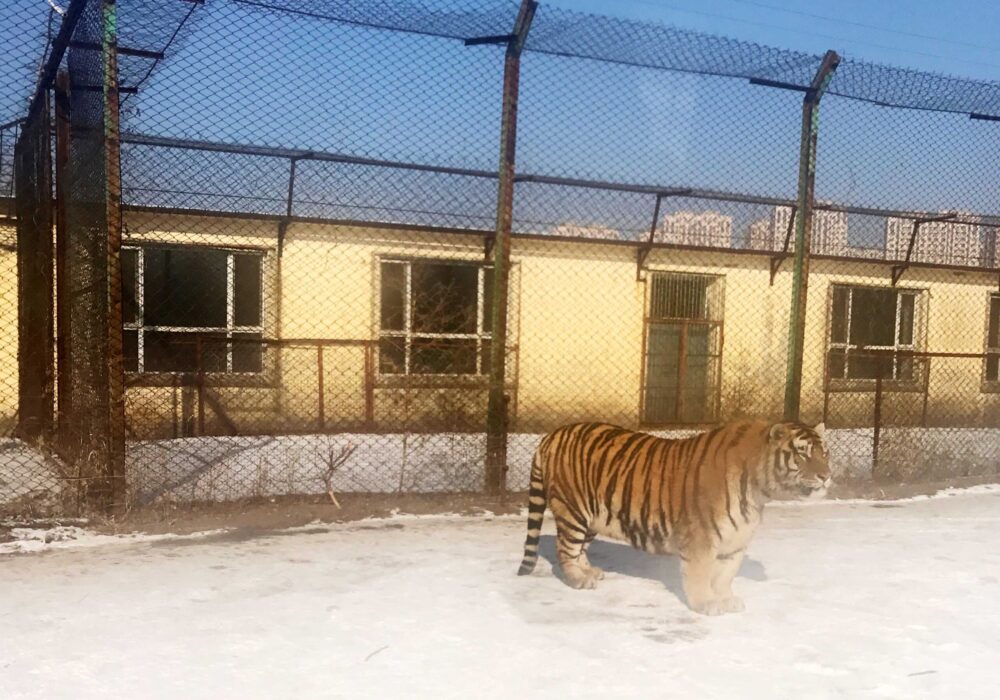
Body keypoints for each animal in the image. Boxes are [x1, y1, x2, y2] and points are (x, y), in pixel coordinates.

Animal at [516, 418, 828, 616]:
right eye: (802, 454)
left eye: (825, 453)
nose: (826, 475)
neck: (758, 493)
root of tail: (553, 434)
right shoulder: (701, 539)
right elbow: (700, 576)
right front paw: (706, 605)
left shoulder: (735, 542)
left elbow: (725, 576)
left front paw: (726, 599)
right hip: (573, 509)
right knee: (566, 548)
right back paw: (578, 580)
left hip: (592, 516)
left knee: (580, 548)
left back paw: (590, 572)